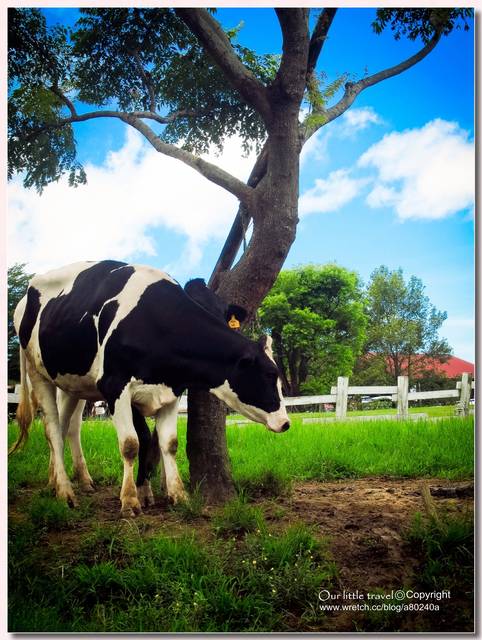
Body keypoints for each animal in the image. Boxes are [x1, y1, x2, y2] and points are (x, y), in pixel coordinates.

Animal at [12, 260, 289, 517]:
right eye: (270, 374)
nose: (285, 423)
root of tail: (27, 292)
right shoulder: (115, 386)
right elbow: (132, 443)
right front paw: (130, 500)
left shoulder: (171, 391)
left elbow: (169, 443)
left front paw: (177, 494)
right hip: (38, 373)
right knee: (52, 429)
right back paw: (64, 491)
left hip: (74, 383)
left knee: (68, 426)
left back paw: (71, 480)